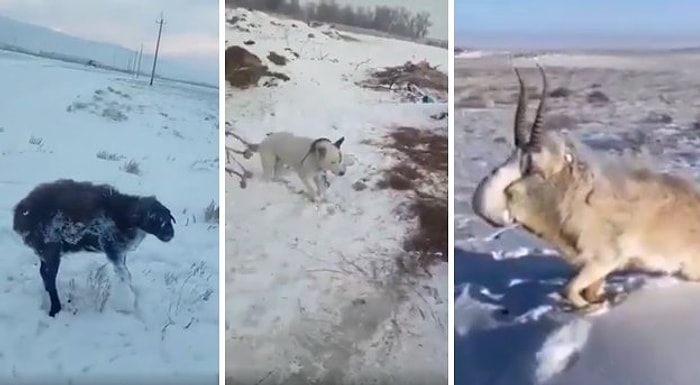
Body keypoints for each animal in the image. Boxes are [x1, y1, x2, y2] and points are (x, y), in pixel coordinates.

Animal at [12, 178, 176, 316]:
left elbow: (126, 271)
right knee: (50, 277)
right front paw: (127, 302)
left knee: (44, 273)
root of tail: (20, 212)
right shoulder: (112, 246)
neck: (124, 213)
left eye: (167, 216)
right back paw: (55, 308)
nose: (170, 234)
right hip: (50, 246)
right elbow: (124, 274)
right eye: (153, 217)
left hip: (46, 250)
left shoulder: (120, 250)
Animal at [470, 61, 700, 310]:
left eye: (534, 167)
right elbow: (586, 291)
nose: (489, 207)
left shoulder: (604, 260)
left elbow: (569, 290)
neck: (575, 196)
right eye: (513, 155)